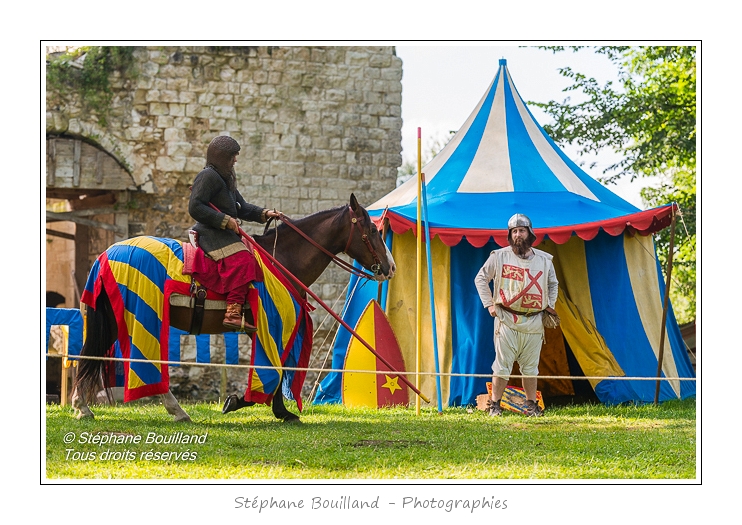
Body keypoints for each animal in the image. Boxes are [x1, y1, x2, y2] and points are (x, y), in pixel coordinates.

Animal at [70, 194, 396, 424]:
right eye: (371, 229)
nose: (390, 267)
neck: (282, 260)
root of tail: (106, 254)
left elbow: (278, 369)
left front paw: (276, 410)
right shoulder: (267, 327)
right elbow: (275, 370)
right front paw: (246, 403)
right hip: (129, 318)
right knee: (101, 358)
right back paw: (90, 407)